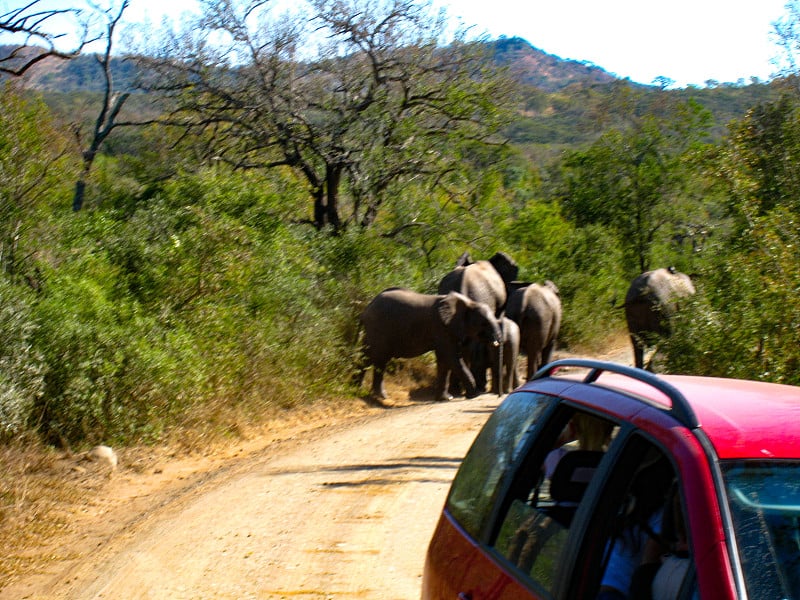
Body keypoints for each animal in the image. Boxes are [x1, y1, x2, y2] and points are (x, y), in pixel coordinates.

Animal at [354, 288, 500, 400]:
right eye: (484, 323)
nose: (496, 340)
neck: (468, 303)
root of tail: (366, 309)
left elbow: (444, 361)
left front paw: (446, 398)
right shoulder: (442, 327)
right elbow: (452, 358)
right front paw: (474, 395)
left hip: (372, 330)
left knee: (366, 356)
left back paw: (357, 389)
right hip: (379, 329)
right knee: (379, 358)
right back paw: (381, 396)